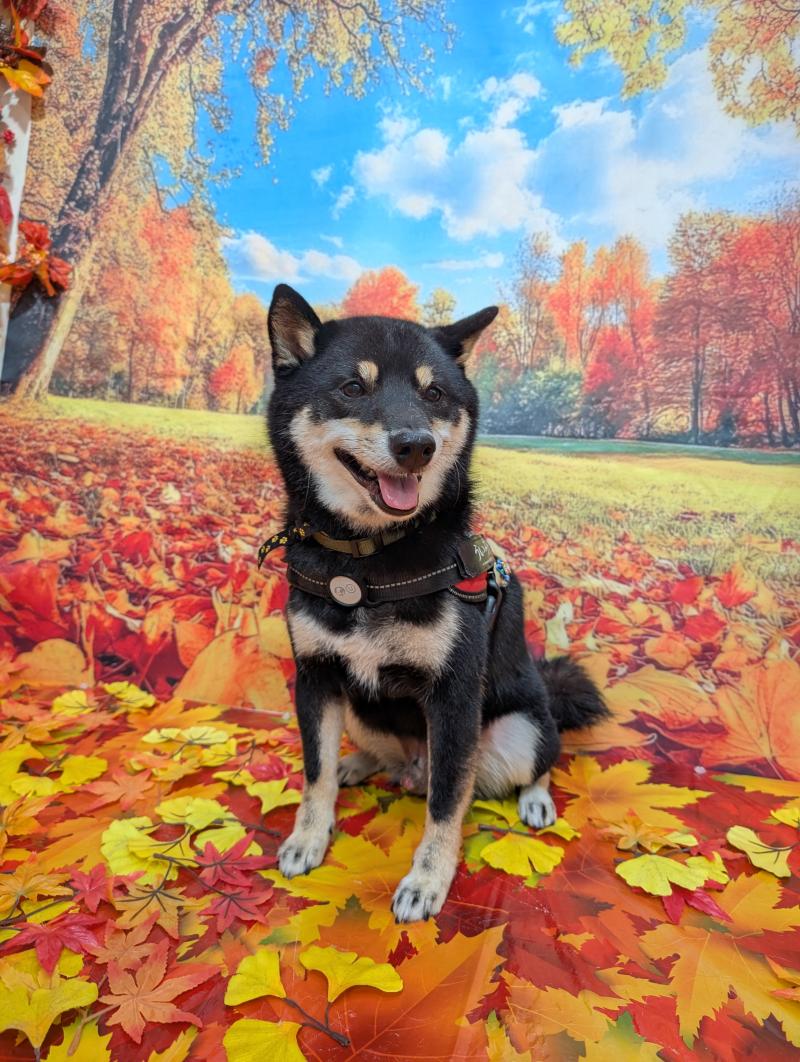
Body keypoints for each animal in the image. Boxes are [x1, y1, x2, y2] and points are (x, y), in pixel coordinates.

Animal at [265, 283, 608, 923]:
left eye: (434, 393)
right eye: (353, 387)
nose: (415, 445)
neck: (366, 560)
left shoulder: (452, 696)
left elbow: (449, 803)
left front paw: (427, 882)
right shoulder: (316, 676)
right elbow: (315, 773)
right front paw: (308, 837)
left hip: (520, 728)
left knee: (539, 761)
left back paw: (536, 801)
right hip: (361, 708)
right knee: (377, 756)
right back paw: (361, 764)